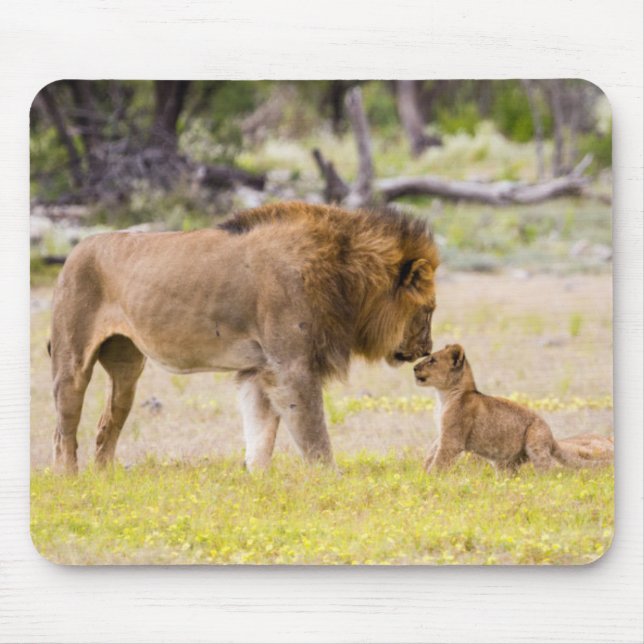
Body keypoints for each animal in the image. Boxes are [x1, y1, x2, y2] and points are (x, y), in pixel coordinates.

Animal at [49, 202, 439, 473]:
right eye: (430, 310)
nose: (427, 349)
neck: (346, 277)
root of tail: (75, 250)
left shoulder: (259, 370)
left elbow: (260, 435)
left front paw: (257, 481)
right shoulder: (291, 368)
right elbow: (314, 434)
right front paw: (331, 479)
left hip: (127, 366)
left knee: (107, 422)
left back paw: (105, 478)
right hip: (72, 362)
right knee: (63, 431)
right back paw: (70, 480)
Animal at [414, 344, 613, 473]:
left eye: (432, 360)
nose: (414, 367)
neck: (444, 395)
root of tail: (552, 438)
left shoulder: (453, 439)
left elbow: (440, 460)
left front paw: (430, 479)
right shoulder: (443, 432)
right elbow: (432, 451)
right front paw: (423, 471)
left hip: (535, 442)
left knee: (550, 470)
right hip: (507, 462)